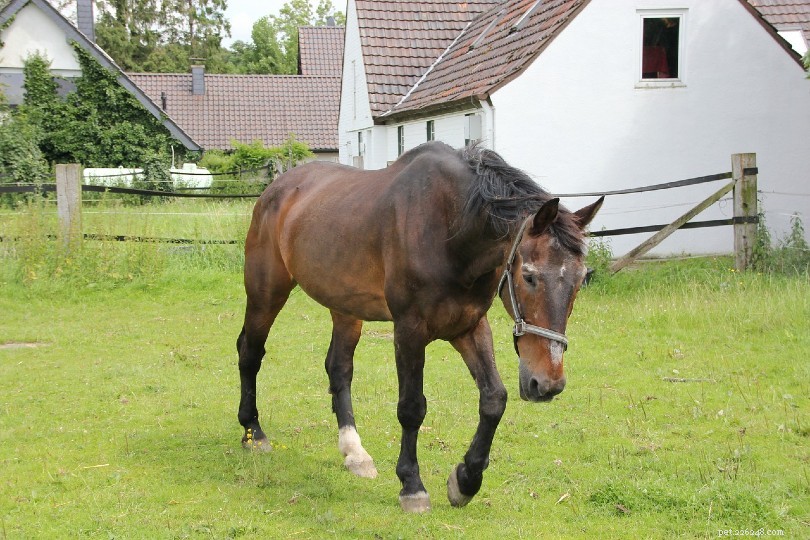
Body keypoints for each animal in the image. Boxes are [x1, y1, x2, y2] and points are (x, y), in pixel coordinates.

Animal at [236, 141, 603, 512]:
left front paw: (465, 480)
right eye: (529, 276)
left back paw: (355, 453)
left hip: (345, 306)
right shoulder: (409, 330)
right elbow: (412, 407)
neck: (450, 230)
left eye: (580, 279)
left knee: (339, 368)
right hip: (267, 291)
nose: (548, 383)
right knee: (250, 352)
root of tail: (276, 189)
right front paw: (412, 486)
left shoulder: (469, 326)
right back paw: (253, 433)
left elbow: (494, 399)